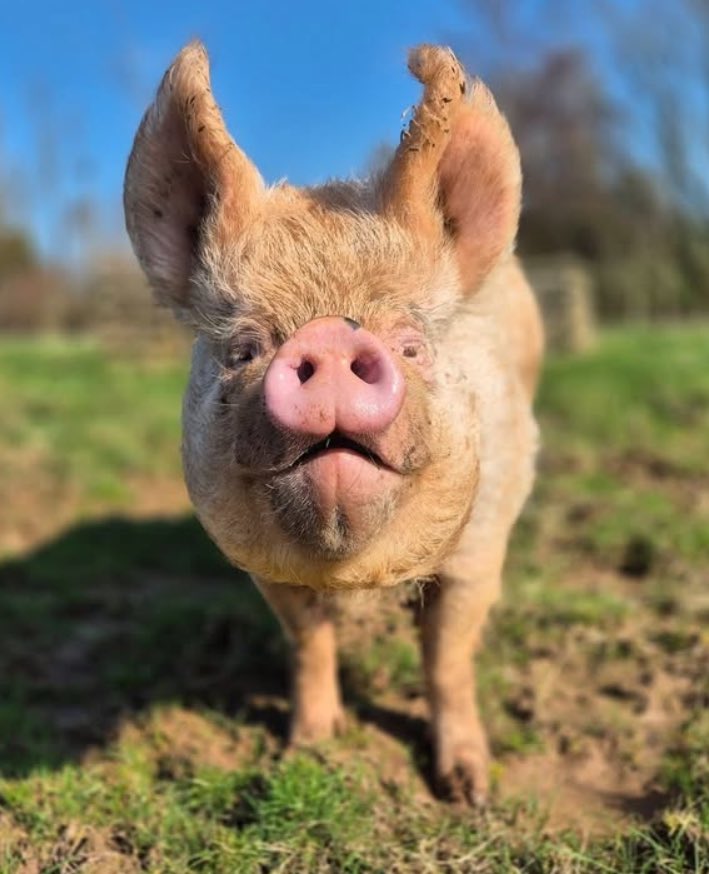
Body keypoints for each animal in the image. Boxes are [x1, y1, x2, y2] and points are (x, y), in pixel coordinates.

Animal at [123, 42, 543, 806]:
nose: (327, 335)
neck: (355, 574)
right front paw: (305, 752)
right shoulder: (266, 572)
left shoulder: (480, 545)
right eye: (243, 350)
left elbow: (447, 656)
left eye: (411, 345)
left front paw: (468, 791)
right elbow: (308, 642)